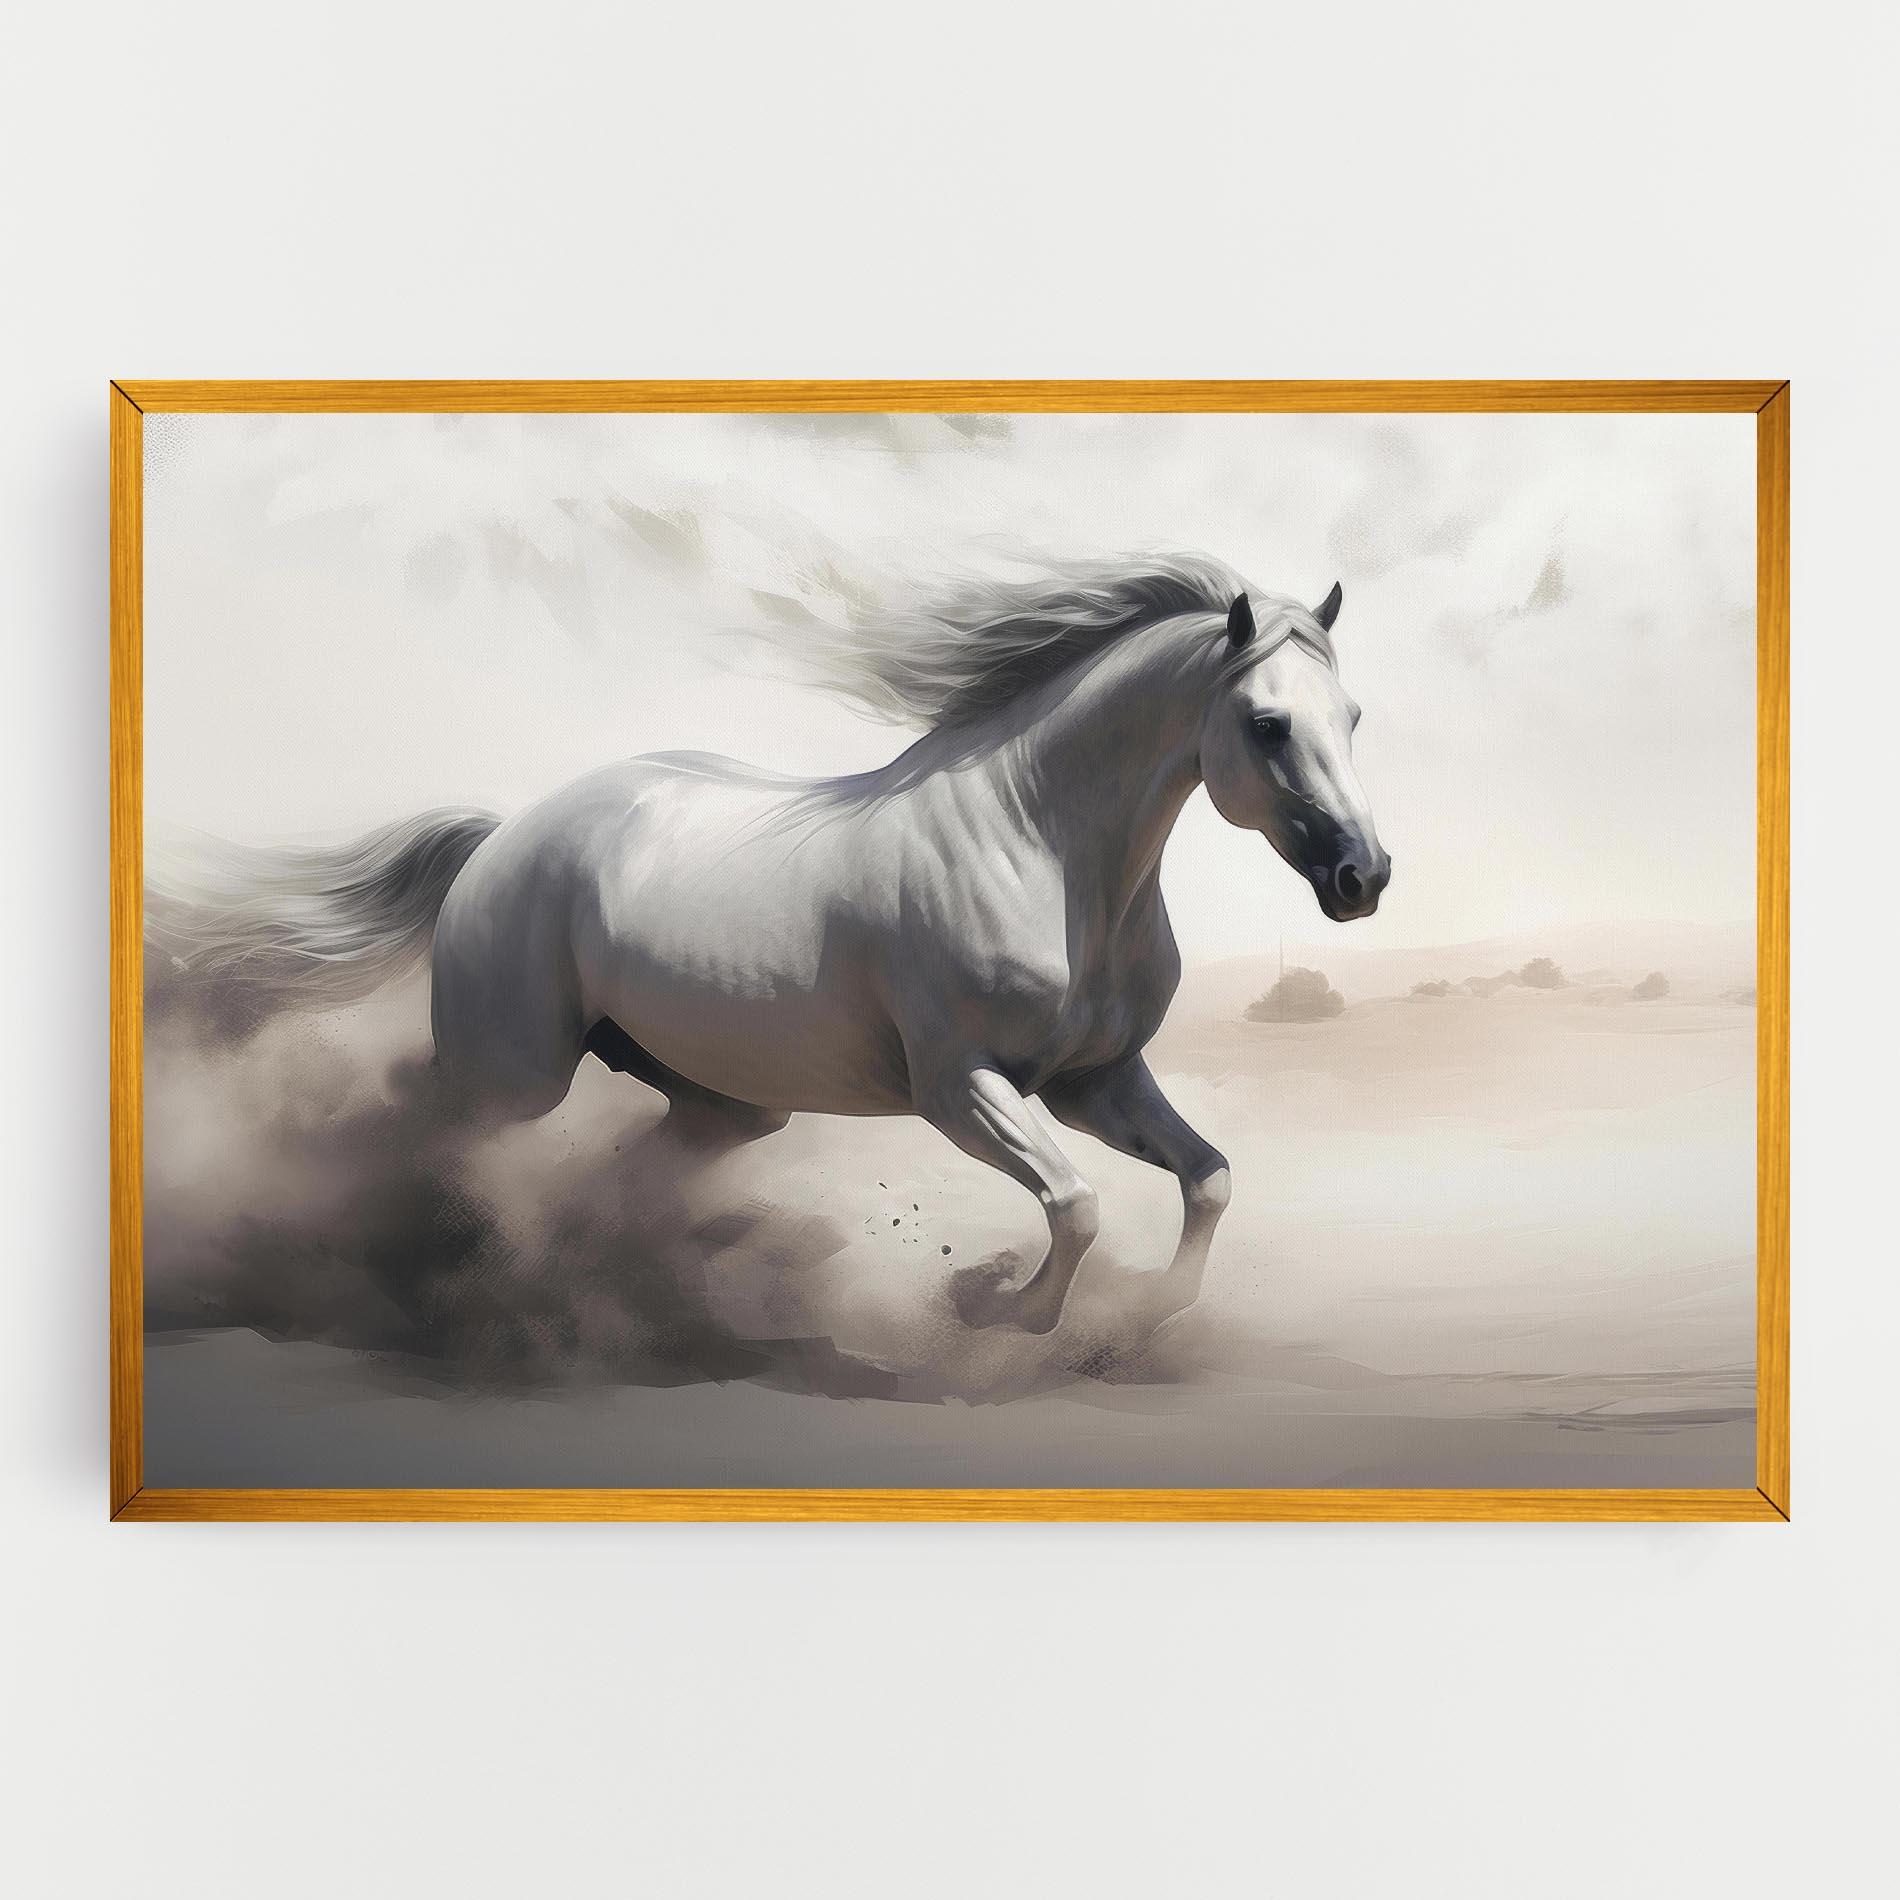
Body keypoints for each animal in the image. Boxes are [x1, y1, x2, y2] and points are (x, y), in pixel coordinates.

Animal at [149, 553, 1389, 1335]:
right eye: (1267, 724)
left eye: (1353, 718)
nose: (1361, 876)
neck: (1036, 847)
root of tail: (503, 838)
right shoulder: (962, 1087)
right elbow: (1075, 1203)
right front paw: (1005, 1310)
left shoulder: (1095, 1080)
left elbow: (1209, 1178)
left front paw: (1153, 1310)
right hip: (513, 1074)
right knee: (415, 1127)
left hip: (722, 1101)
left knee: (620, 1176)